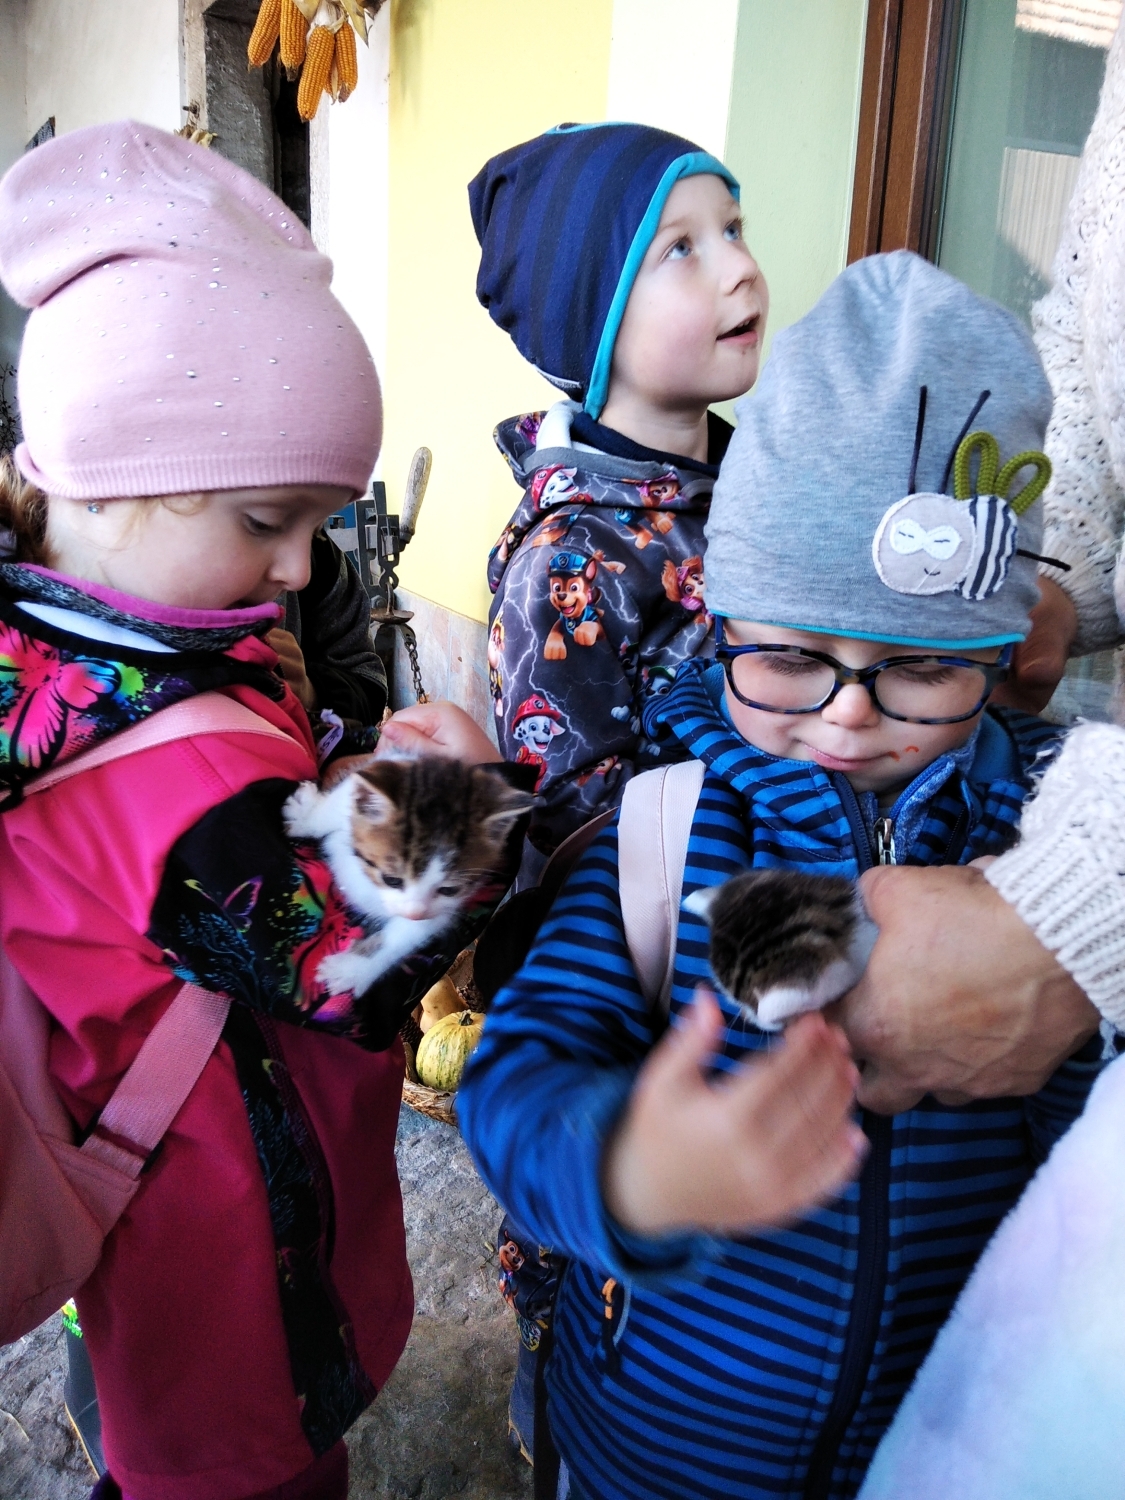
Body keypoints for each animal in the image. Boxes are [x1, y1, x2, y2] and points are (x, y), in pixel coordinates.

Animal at [283, 756, 534, 998]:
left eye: (449, 890)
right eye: (391, 879)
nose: (414, 914)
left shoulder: (442, 910)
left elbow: (402, 937)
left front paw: (352, 970)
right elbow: (339, 803)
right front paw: (306, 816)